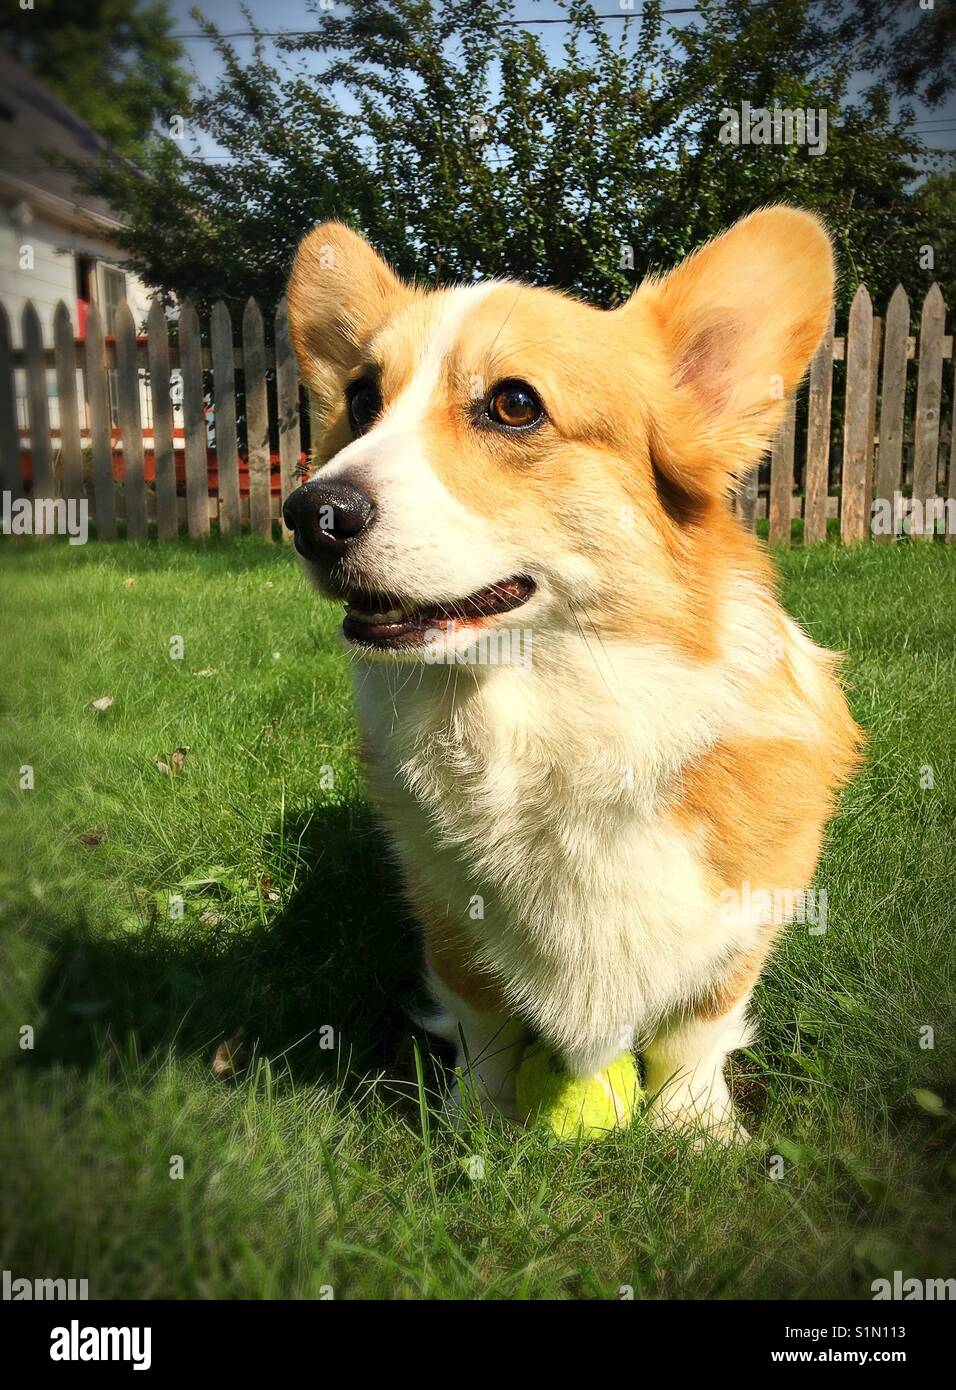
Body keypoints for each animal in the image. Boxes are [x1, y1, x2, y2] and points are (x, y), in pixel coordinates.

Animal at [286, 205, 867, 1139]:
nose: (309, 515)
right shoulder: (451, 925)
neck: (552, 720)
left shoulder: (744, 920)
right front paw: (477, 1125)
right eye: (363, 399)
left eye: (514, 404)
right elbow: (483, 1023)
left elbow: (695, 1030)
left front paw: (696, 1133)